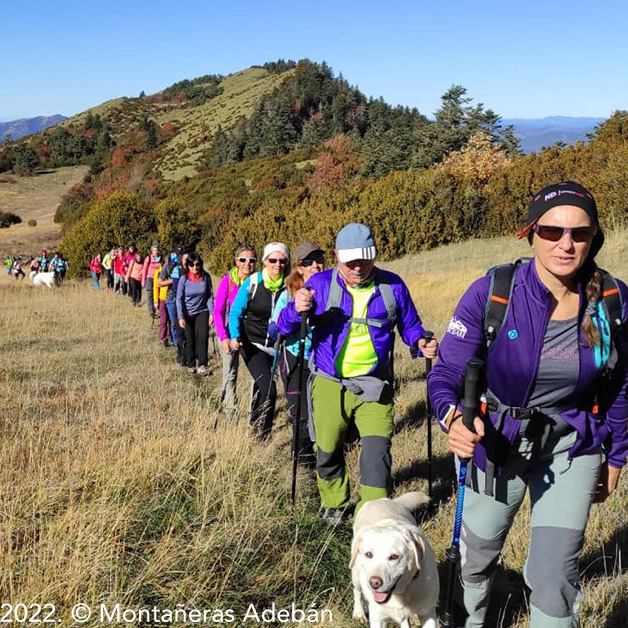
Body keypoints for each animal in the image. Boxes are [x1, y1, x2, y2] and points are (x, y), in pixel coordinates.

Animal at [350, 494, 440, 628]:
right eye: (369, 554)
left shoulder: (427, 613)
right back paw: (358, 613)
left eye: (394, 556)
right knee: (356, 591)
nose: (374, 583)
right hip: (355, 572)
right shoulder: (377, 617)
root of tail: (380, 500)